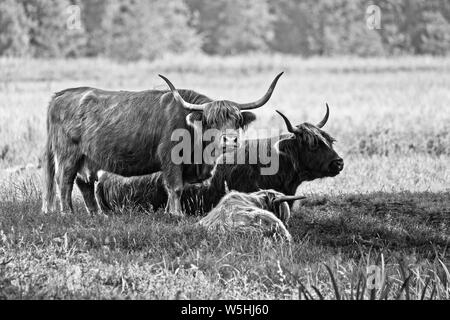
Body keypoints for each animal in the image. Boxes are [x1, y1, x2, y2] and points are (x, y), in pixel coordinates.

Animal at [41, 74, 282, 216]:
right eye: (211, 121)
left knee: (84, 183)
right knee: (64, 181)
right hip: (68, 154)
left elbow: (174, 189)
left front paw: (168, 212)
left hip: (87, 157)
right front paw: (177, 215)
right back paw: (68, 213)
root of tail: (61, 95)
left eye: (236, 120)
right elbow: (175, 187)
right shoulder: (170, 158)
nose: (230, 139)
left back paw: (97, 214)